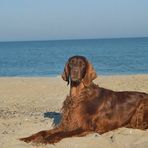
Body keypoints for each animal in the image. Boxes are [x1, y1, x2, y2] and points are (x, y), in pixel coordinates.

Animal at [19, 55, 148, 145]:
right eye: (71, 63)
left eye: (82, 64)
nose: (75, 71)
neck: (78, 95)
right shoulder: (66, 123)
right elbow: (43, 131)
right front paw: (28, 138)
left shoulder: (84, 126)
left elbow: (61, 133)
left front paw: (46, 140)